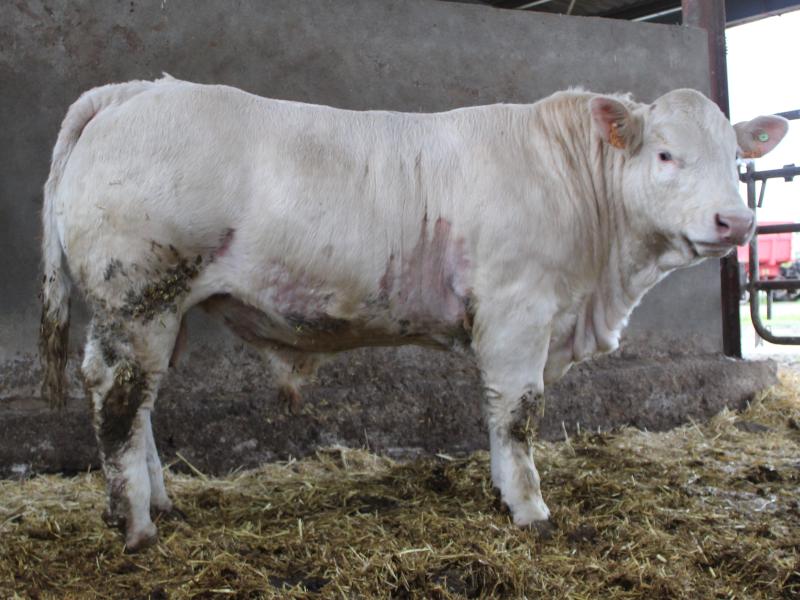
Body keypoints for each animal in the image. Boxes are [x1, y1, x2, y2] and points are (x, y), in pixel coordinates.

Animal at [39, 75, 787, 551]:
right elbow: (517, 415)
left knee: (140, 403)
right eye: (665, 154)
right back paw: (135, 524)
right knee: (116, 396)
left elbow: (500, 416)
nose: (736, 220)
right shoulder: (516, 312)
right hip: (138, 295)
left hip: (164, 311)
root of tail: (137, 90)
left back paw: (158, 500)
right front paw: (530, 509)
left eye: (735, 157)